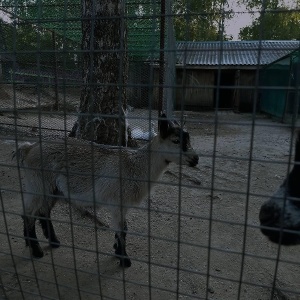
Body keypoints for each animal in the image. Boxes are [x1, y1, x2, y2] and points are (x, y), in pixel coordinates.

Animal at [14, 115, 198, 268]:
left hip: (53, 189)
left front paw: (117, 251)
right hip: (38, 183)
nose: (195, 159)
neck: (135, 166)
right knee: (28, 213)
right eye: (176, 140)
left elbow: (123, 228)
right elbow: (121, 229)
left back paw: (50, 242)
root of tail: (29, 148)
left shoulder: (123, 205)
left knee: (42, 212)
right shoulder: (117, 202)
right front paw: (124, 260)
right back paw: (37, 250)